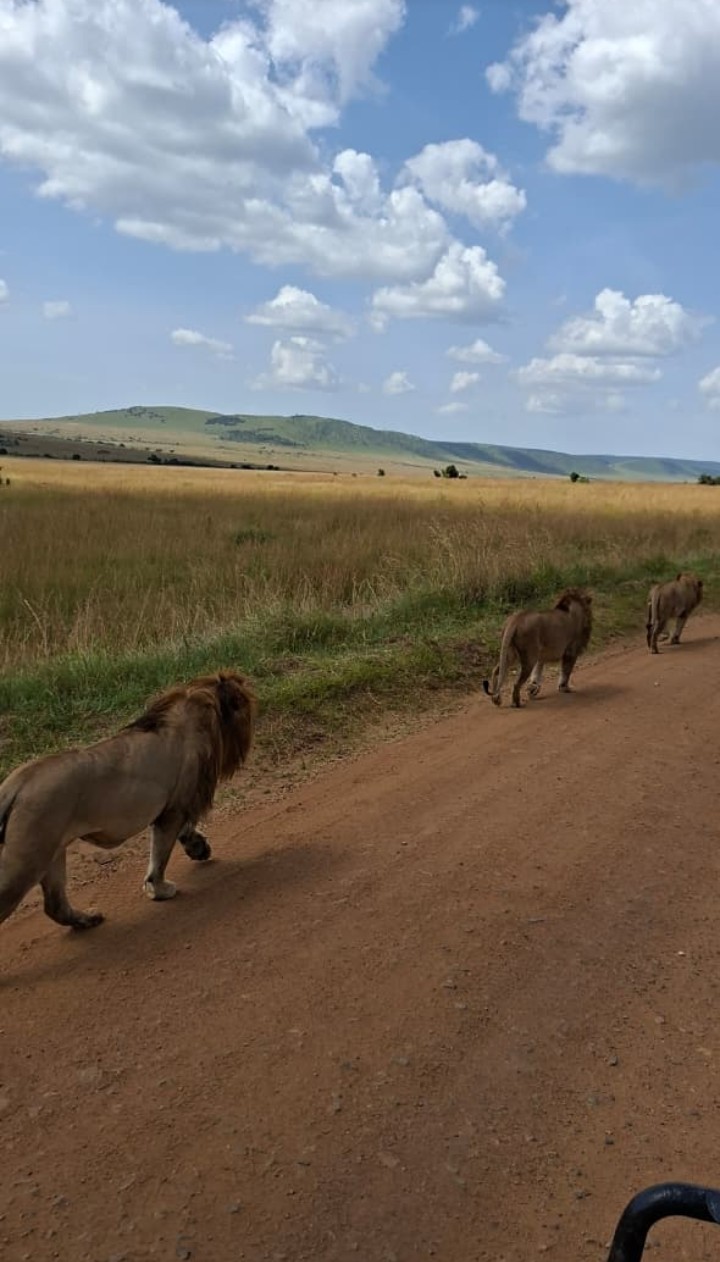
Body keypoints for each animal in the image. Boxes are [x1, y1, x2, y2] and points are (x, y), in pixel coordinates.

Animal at [0, 670, 256, 932]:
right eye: (245, 702)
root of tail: (16, 785)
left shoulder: (177, 803)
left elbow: (183, 833)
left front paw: (199, 848)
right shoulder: (174, 808)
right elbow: (160, 854)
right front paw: (160, 890)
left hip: (52, 853)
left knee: (55, 905)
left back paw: (88, 919)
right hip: (25, 861)